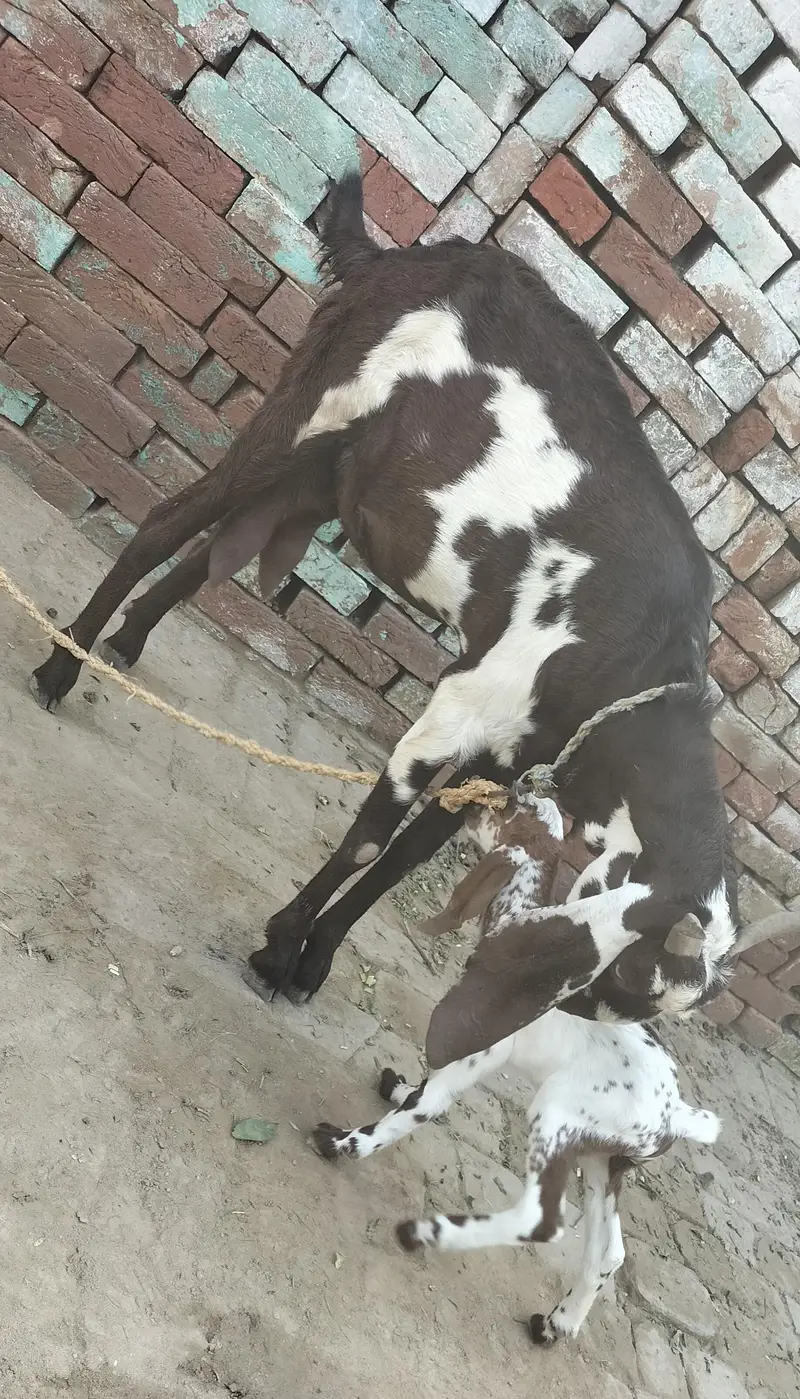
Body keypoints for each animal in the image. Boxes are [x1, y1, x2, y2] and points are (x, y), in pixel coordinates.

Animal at [31, 173, 739, 1026]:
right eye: (629, 970)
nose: (567, 1012)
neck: (638, 661)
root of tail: (391, 260)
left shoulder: (509, 748)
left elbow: (404, 858)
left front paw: (314, 963)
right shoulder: (465, 700)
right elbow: (370, 840)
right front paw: (278, 949)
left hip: (327, 469)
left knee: (210, 553)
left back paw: (126, 645)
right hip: (313, 406)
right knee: (168, 523)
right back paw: (60, 668)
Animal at [312, 791, 722, 1346]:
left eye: (509, 813)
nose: (470, 804)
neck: (517, 923)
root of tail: (676, 1113)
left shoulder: (463, 1062)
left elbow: (411, 1116)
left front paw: (341, 1144)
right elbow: (417, 1098)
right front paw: (398, 1089)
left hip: (553, 1117)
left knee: (541, 1220)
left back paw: (429, 1233)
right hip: (602, 1161)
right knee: (609, 1252)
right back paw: (557, 1324)